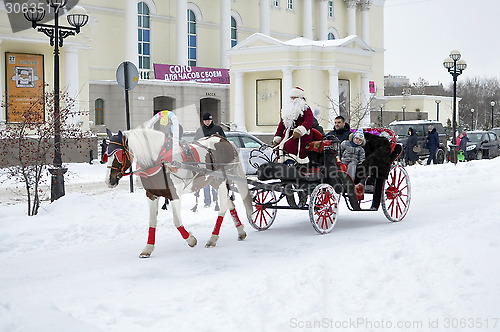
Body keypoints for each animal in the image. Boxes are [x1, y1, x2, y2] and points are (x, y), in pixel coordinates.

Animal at [105, 128, 254, 258]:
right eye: (106, 154)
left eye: (119, 154)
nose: (109, 181)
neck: (160, 161)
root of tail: (223, 139)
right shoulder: (151, 196)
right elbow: (152, 222)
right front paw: (148, 248)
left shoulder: (174, 195)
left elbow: (177, 222)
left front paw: (191, 240)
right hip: (213, 182)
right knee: (230, 204)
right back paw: (240, 231)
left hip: (221, 180)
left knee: (223, 207)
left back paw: (213, 238)